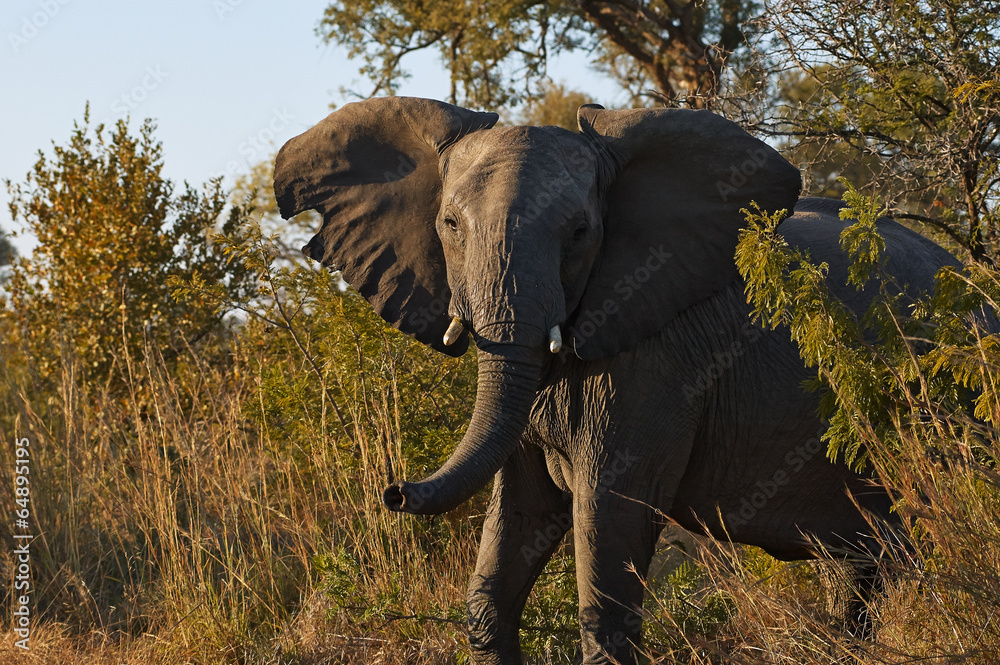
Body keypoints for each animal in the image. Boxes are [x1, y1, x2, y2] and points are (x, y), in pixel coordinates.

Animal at [272, 97, 958, 664]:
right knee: (858, 571)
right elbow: (515, 522)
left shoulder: (657, 356)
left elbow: (608, 515)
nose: (394, 491)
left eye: (580, 233)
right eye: (450, 226)